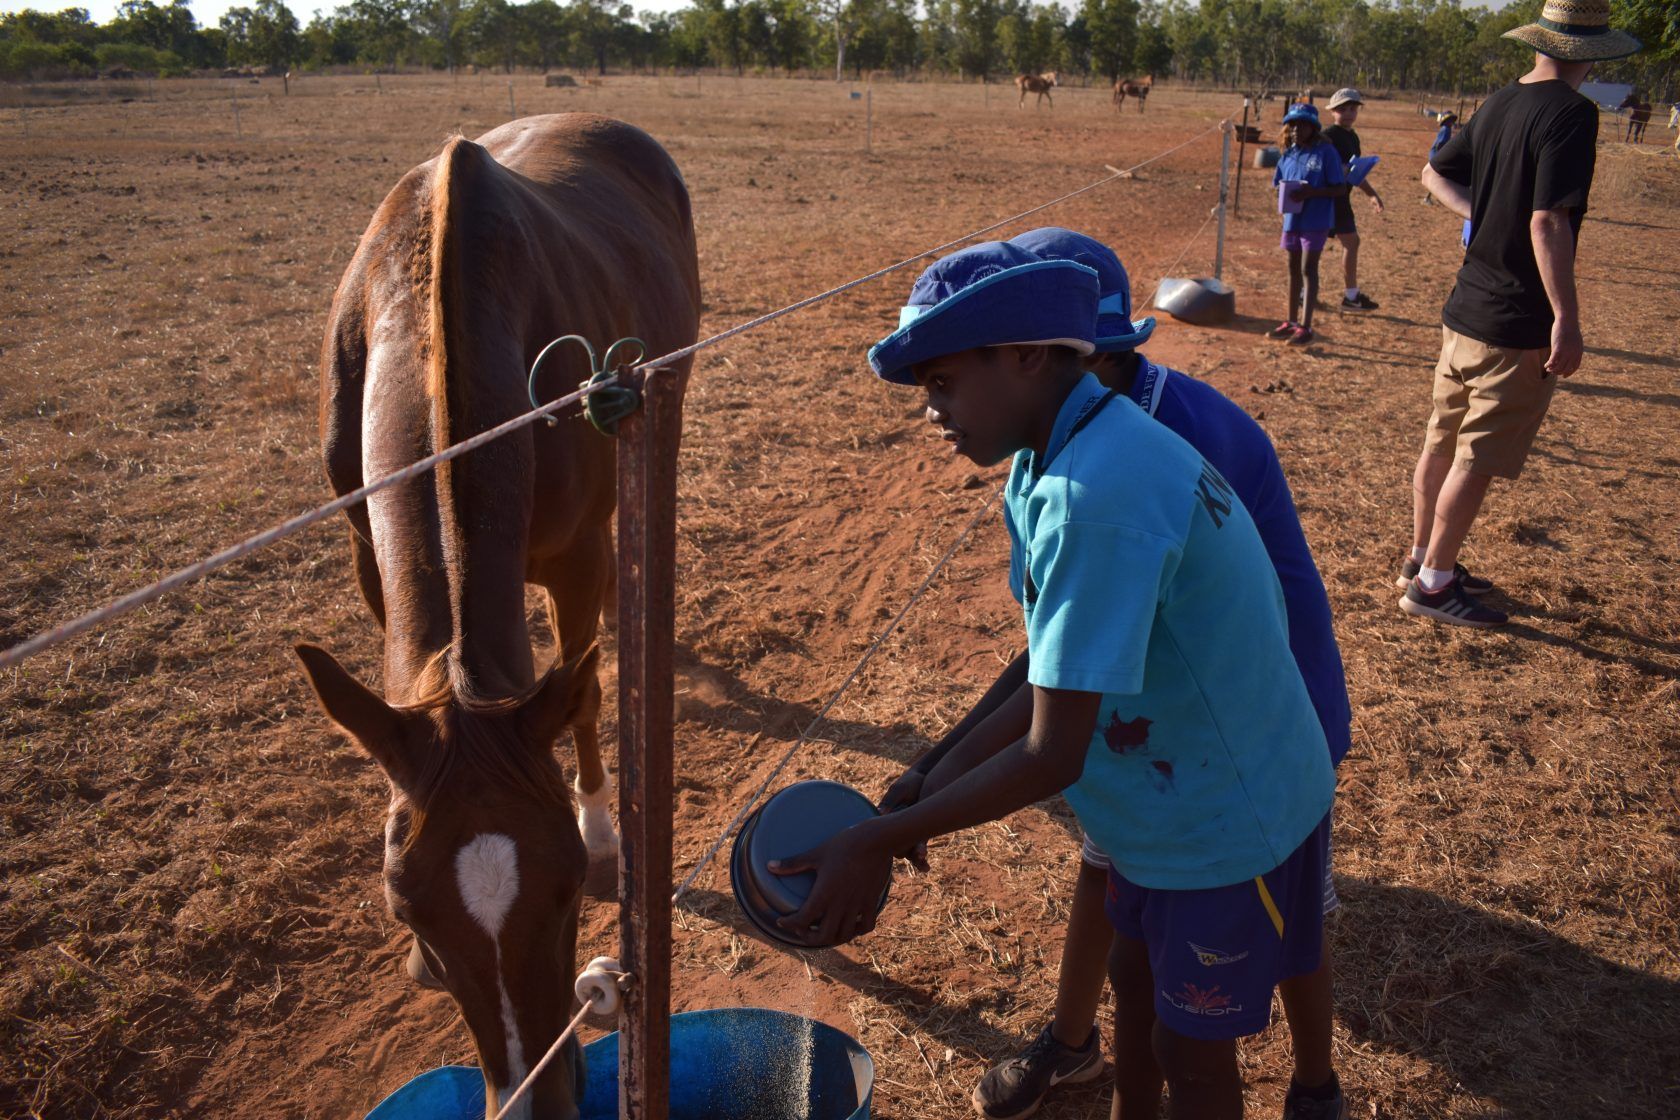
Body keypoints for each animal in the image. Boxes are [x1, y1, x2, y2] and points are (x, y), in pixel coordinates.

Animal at [298, 113, 700, 1120]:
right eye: (406, 908)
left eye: (569, 890)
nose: (536, 1098)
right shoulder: (367, 553)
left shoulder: (578, 558)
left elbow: (584, 693)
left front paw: (604, 828)